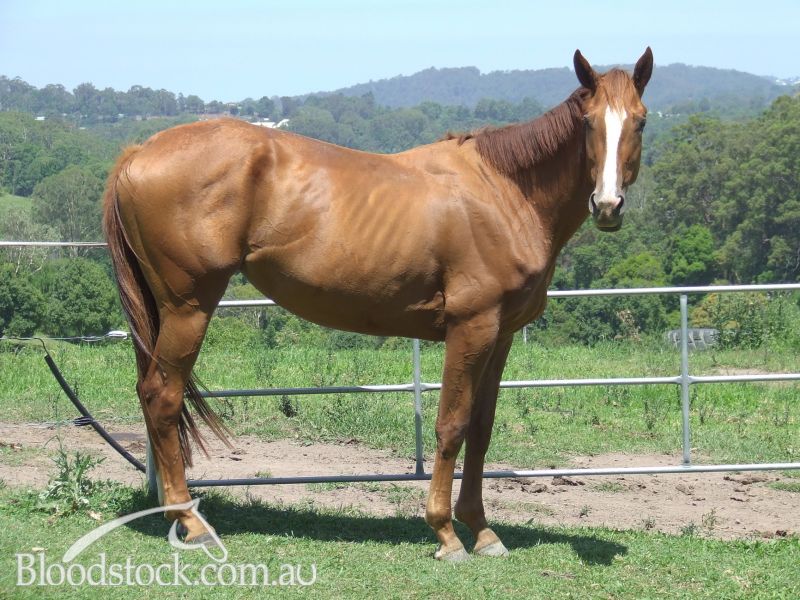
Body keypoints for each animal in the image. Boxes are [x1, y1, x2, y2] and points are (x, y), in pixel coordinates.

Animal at [103, 48, 653, 561]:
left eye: (640, 120)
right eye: (588, 122)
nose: (607, 206)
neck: (504, 194)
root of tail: (138, 151)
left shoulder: (500, 335)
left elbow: (480, 428)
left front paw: (482, 530)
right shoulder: (470, 327)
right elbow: (451, 425)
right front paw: (445, 533)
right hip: (188, 307)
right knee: (162, 397)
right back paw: (190, 522)